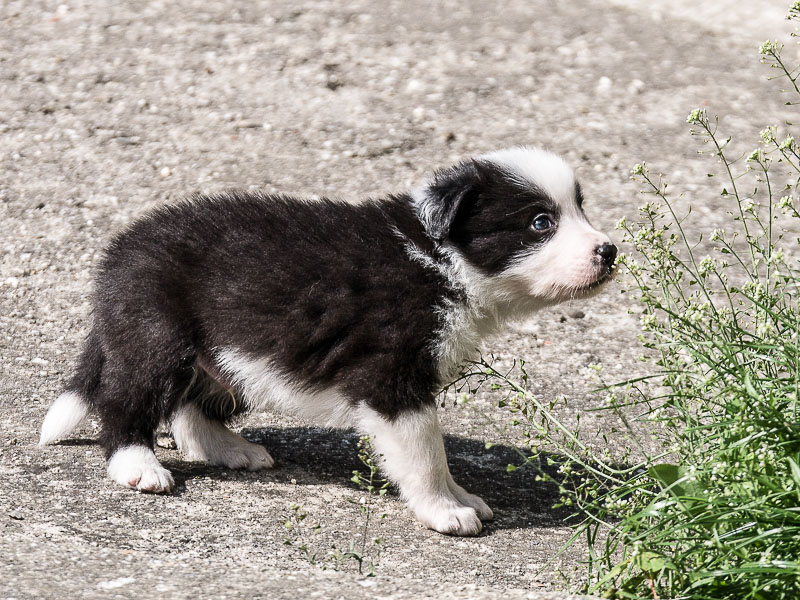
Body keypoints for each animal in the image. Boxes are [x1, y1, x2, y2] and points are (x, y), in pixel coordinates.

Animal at [39, 148, 620, 536]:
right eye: (540, 222)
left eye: (580, 210)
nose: (610, 251)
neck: (438, 259)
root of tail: (119, 253)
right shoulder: (390, 375)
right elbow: (426, 450)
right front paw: (446, 510)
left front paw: (463, 497)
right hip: (155, 332)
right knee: (127, 401)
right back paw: (138, 466)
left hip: (229, 352)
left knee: (189, 407)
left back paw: (231, 449)